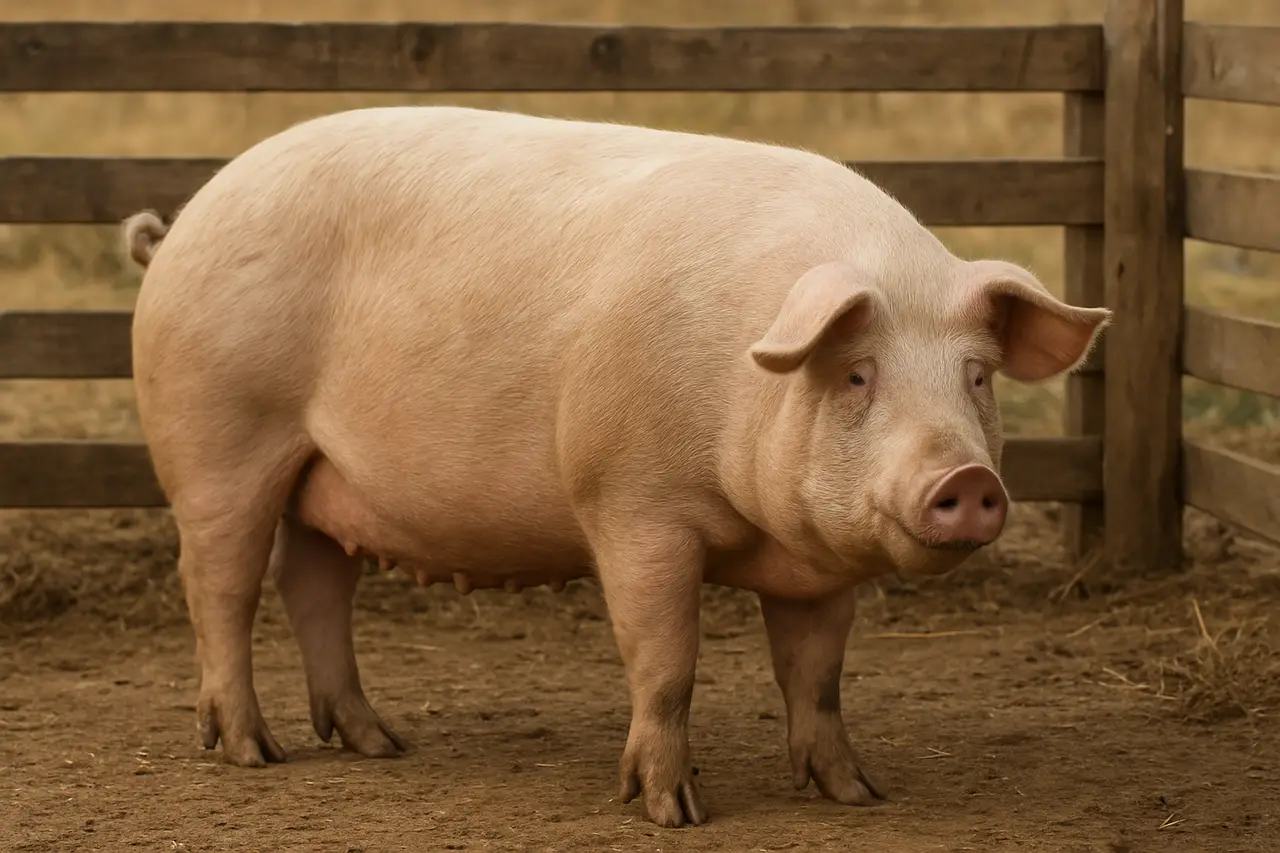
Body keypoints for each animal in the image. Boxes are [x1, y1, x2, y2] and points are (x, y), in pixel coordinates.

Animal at [125, 105, 1109, 828]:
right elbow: (666, 660)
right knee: (219, 584)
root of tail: (180, 226)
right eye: (858, 372)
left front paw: (856, 794)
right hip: (218, 433)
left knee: (314, 582)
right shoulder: (633, 503)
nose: (966, 480)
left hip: (322, 473)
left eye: (976, 376)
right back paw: (253, 750)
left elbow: (817, 676)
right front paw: (674, 811)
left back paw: (377, 742)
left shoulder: (818, 568)